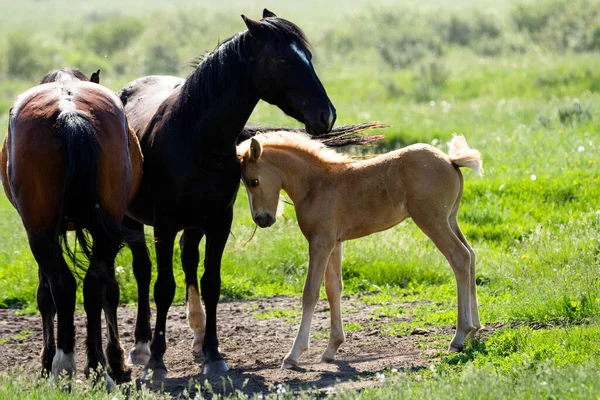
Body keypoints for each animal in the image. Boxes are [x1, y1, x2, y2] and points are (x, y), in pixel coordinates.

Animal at [0, 67, 142, 386]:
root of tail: (69, 111)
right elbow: (106, 292)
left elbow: (45, 296)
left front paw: (45, 361)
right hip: (104, 232)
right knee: (93, 286)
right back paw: (97, 367)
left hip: (40, 233)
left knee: (65, 286)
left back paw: (65, 366)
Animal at [119, 9, 338, 378]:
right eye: (282, 59)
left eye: (308, 57)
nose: (327, 115)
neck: (195, 137)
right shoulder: (164, 224)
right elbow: (163, 287)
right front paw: (158, 361)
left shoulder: (219, 221)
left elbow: (211, 282)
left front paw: (213, 354)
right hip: (133, 221)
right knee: (144, 271)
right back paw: (141, 347)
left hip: (194, 224)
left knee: (188, 259)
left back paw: (195, 334)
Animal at [238, 132, 482, 368]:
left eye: (254, 181)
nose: (262, 220)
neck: (315, 184)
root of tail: (450, 160)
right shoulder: (335, 243)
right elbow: (333, 288)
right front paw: (331, 349)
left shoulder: (320, 242)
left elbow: (310, 293)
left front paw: (293, 355)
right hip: (450, 220)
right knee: (470, 256)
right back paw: (475, 331)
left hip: (432, 221)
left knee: (460, 258)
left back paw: (459, 337)